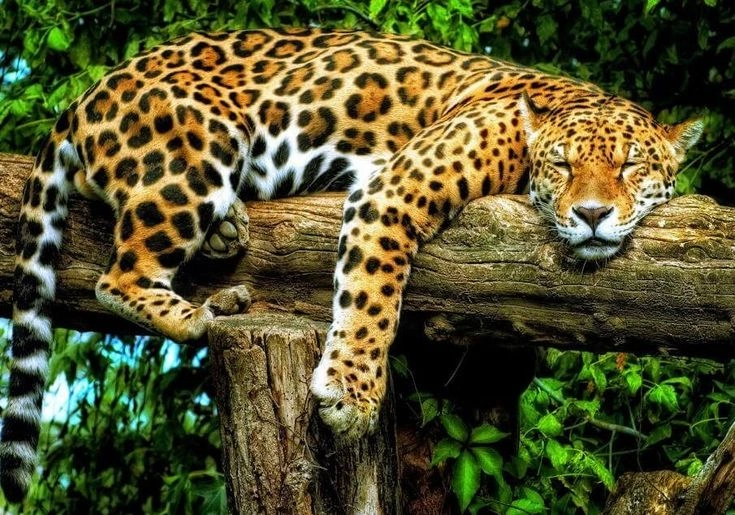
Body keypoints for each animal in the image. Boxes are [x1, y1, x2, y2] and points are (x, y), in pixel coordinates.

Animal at [2, 27, 702, 502]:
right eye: (562, 165)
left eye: (630, 166)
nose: (591, 213)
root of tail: (86, 93)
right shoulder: (394, 190)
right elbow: (372, 300)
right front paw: (352, 396)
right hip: (195, 151)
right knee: (118, 275)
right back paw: (205, 313)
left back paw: (227, 244)